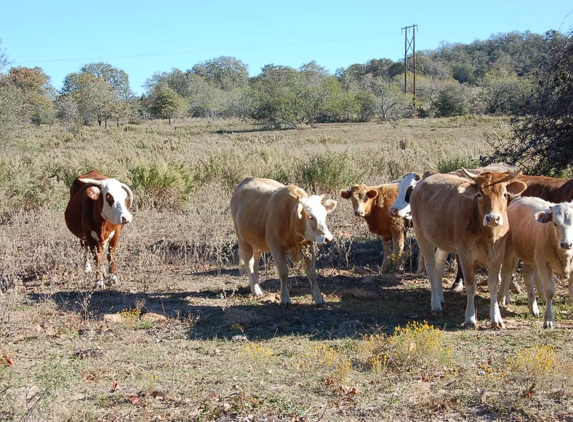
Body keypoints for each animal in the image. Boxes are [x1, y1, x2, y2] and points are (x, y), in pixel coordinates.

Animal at [229, 178, 336, 306]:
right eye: (310, 217)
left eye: (324, 215)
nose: (328, 238)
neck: (290, 217)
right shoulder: (275, 247)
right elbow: (283, 272)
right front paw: (285, 298)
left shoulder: (308, 246)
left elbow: (311, 273)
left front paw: (318, 298)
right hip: (243, 240)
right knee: (249, 264)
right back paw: (256, 290)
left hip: (256, 243)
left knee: (255, 263)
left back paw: (257, 286)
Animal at [408, 170, 524, 328]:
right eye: (479, 194)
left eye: (505, 194)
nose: (492, 218)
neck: (487, 235)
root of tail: (427, 177)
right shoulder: (465, 256)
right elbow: (470, 285)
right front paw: (470, 318)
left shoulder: (497, 256)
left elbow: (493, 285)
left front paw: (496, 319)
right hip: (422, 236)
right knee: (431, 267)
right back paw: (436, 304)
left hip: (443, 241)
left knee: (439, 264)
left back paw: (440, 297)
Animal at [496, 198, 572, 330]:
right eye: (555, 223)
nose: (566, 244)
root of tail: (519, 199)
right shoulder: (543, 263)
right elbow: (550, 291)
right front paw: (548, 320)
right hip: (510, 250)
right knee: (507, 271)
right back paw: (502, 298)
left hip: (531, 255)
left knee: (529, 276)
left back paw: (534, 306)